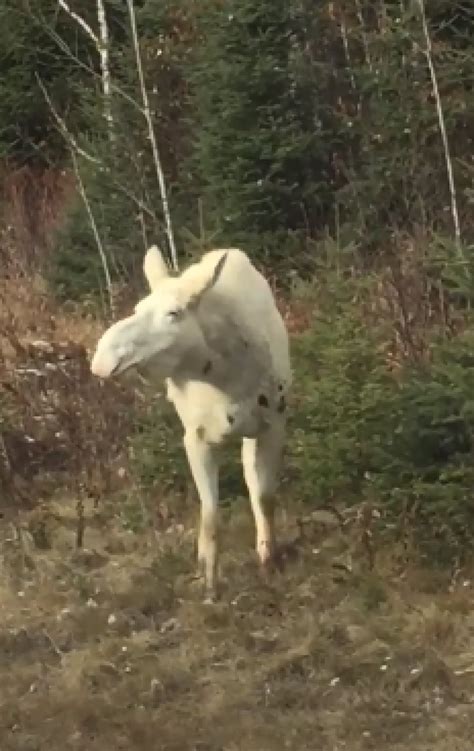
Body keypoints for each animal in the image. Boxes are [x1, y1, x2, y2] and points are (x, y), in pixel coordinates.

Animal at [89, 250, 288, 604]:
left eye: (174, 313)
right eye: (138, 308)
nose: (103, 357)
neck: (228, 377)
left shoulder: (273, 424)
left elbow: (264, 497)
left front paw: (269, 562)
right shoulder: (196, 439)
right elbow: (209, 515)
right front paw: (210, 584)